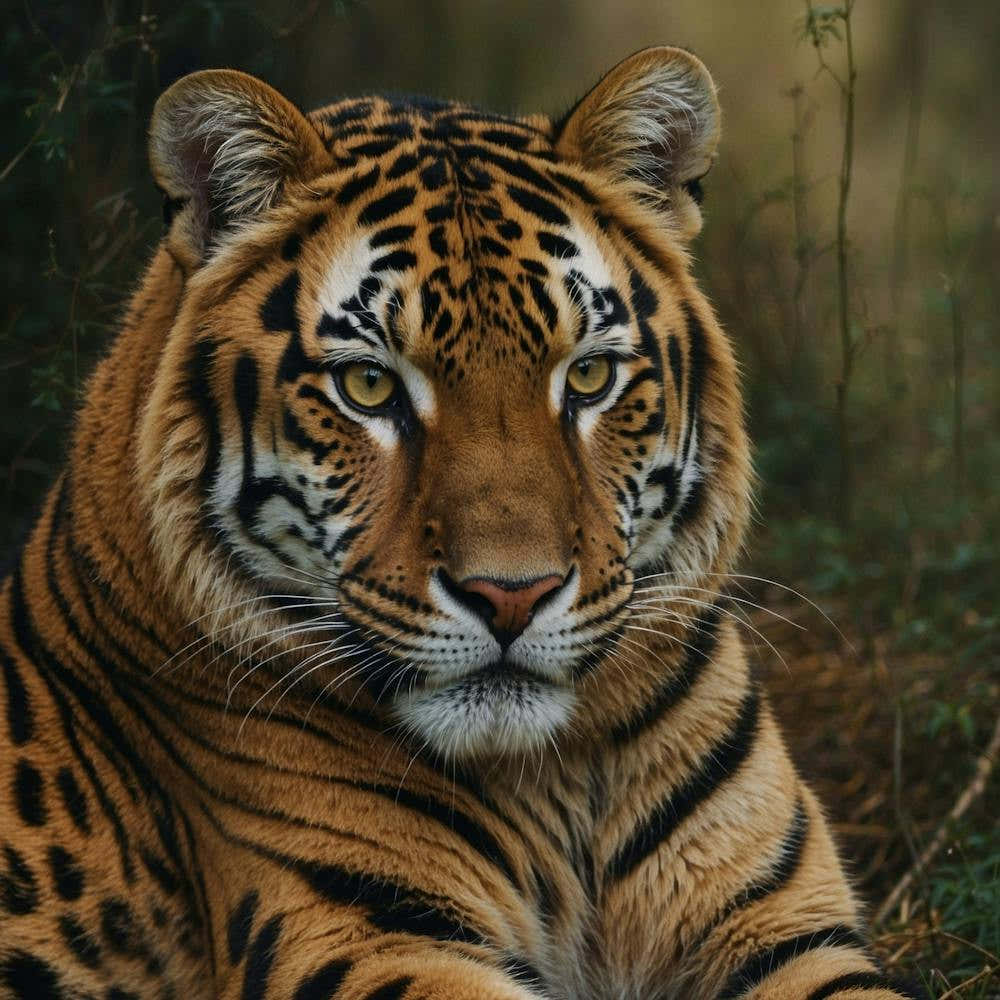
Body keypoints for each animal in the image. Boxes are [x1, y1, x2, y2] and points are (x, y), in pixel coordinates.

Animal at [0, 45, 917, 1000]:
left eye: (588, 376)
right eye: (369, 385)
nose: (511, 596)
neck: (552, 776)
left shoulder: (781, 927)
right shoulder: (374, 941)